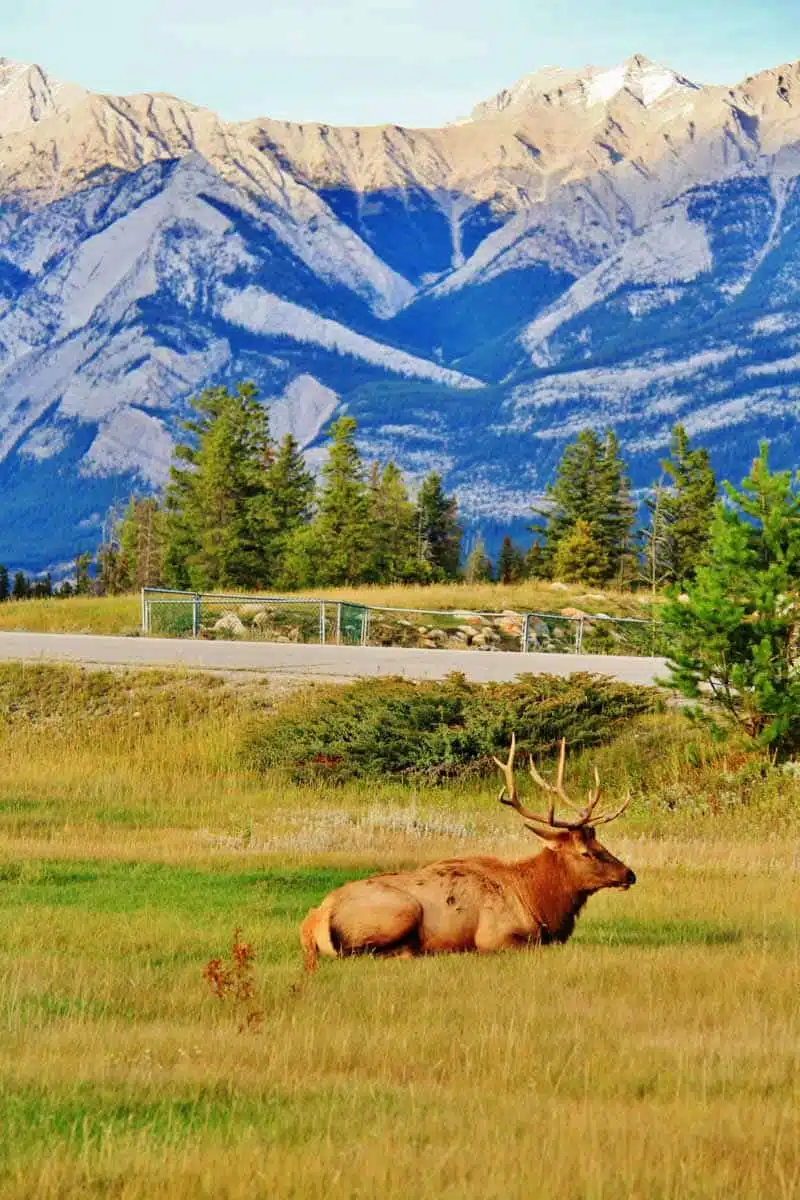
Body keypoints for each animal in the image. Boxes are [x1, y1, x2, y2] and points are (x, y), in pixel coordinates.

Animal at [299, 729, 638, 974]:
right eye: (585, 852)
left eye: (601, 844)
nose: (630, 874)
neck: (538, 903)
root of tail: (317, 917)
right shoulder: (495, 936)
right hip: (402, 909)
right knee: (360, 954)